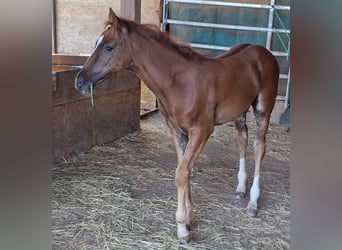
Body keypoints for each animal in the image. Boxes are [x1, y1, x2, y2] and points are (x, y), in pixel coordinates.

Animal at [75, 7, 278, 242]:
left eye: (108, 47)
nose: (79, 81)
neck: (180, 82)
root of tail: (262, 52)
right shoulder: (177, 132)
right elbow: (185, 170)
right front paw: (188, 216)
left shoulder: (202, 131)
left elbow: (181, 174)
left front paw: (182, 228)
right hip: (239, 113)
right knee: (242, 140)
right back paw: (240, 188)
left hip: (263, 109)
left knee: (259, 147)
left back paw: (253, 202)